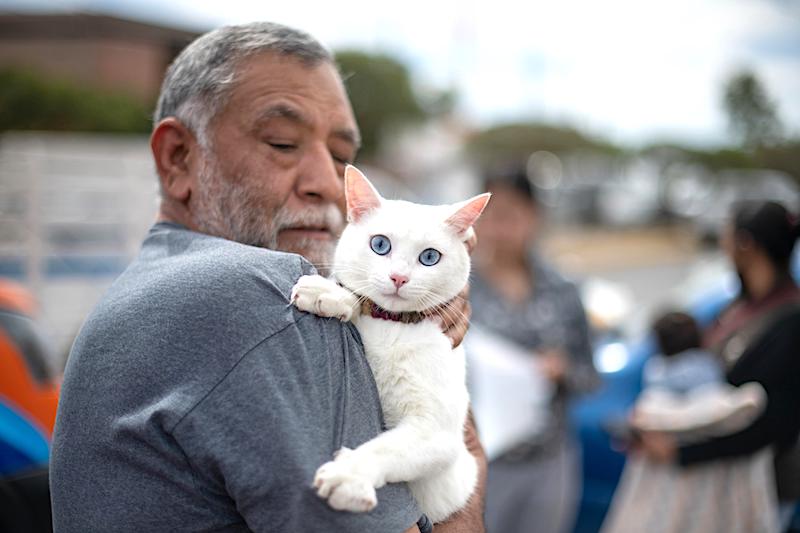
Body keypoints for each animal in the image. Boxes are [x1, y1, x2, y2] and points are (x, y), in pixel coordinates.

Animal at [288, 165, 488, 520]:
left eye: (430, 257)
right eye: (380, 245)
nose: (399, 278)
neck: (392, 329)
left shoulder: (435, 433)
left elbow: (386, 449)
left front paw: (349, 476)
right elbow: (361, 301)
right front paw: (329, 293)